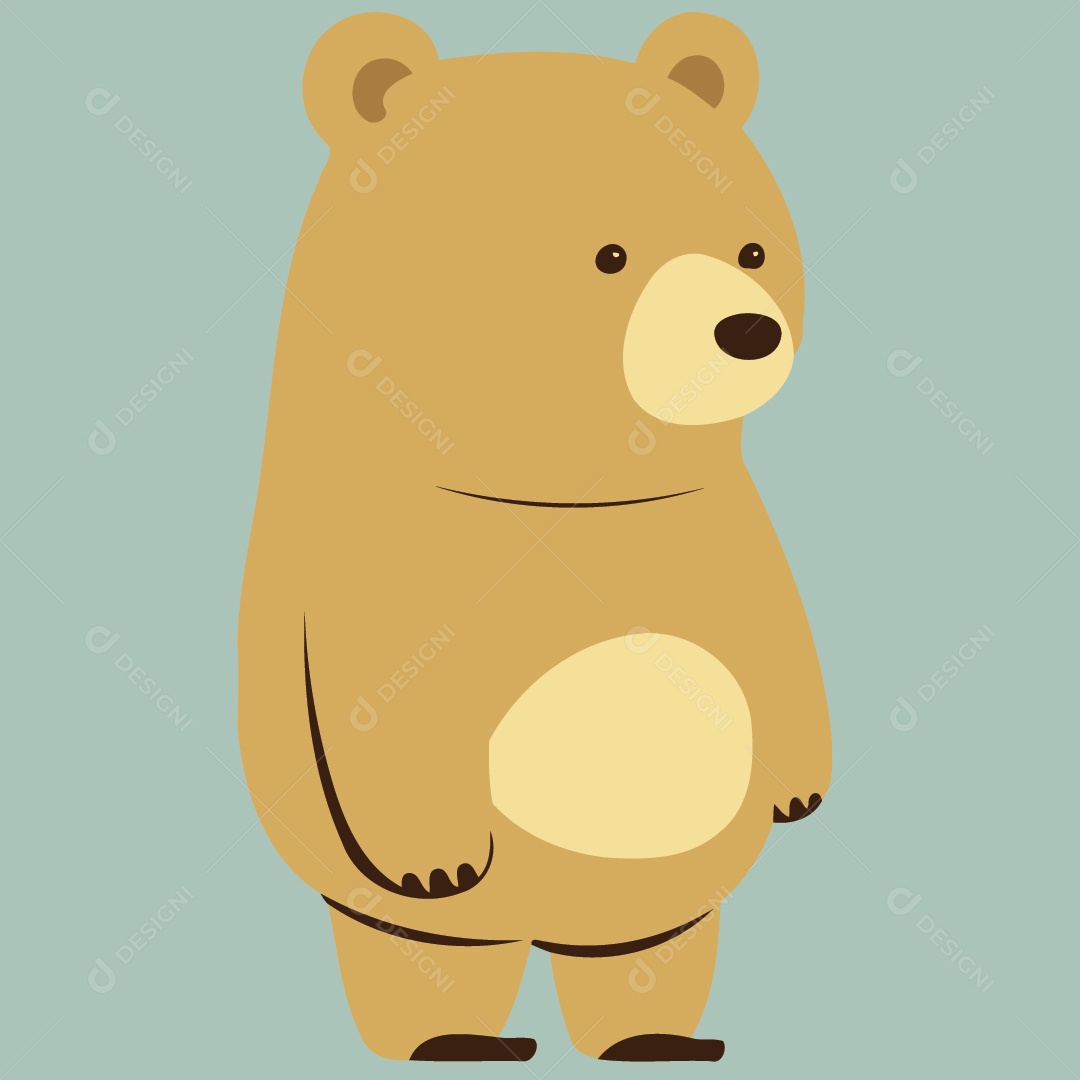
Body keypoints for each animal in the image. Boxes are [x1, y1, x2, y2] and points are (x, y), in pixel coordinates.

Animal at [239, 10, 831, 1063]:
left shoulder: (724, 525)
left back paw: (655, 1040)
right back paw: (453, 1040)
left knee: (649, 954)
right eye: (609, 255)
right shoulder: (381, 562)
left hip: (660, 891)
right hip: (407, 912)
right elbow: (385, 707)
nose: (748, 332)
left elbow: (776, 638)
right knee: (423, 956)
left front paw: (799, 788)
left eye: (754, 250)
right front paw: (435, 858)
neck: (572, 501)